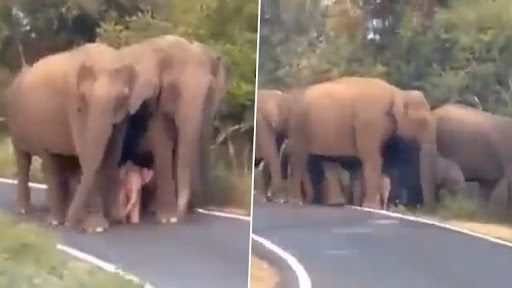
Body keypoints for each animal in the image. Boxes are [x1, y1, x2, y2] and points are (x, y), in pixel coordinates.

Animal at [8, 42, 136, 232]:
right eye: (84, 98)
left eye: (121, 97)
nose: (71, 222)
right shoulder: (73, 106)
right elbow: (89, 157)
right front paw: (95, 227)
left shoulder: (123, 115)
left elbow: (110, 156)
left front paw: (103, 223)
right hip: (17, 124)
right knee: (32, 160)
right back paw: (40, 215)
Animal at [121, 35, 227, 222]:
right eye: (174, 88)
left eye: (209, 91)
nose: (184, 213)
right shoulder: (152, 104)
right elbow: (163, 144)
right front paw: (168, 218)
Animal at [288, 77, 436, 208]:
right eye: (423, 122)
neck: (398, 93)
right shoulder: (370, 123)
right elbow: (372, 159)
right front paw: (371, 207)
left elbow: (361, 164)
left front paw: (362, 205)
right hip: (299, 125)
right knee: (299, 159)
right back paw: (297, 202)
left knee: (328, 161)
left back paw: (336, 203)